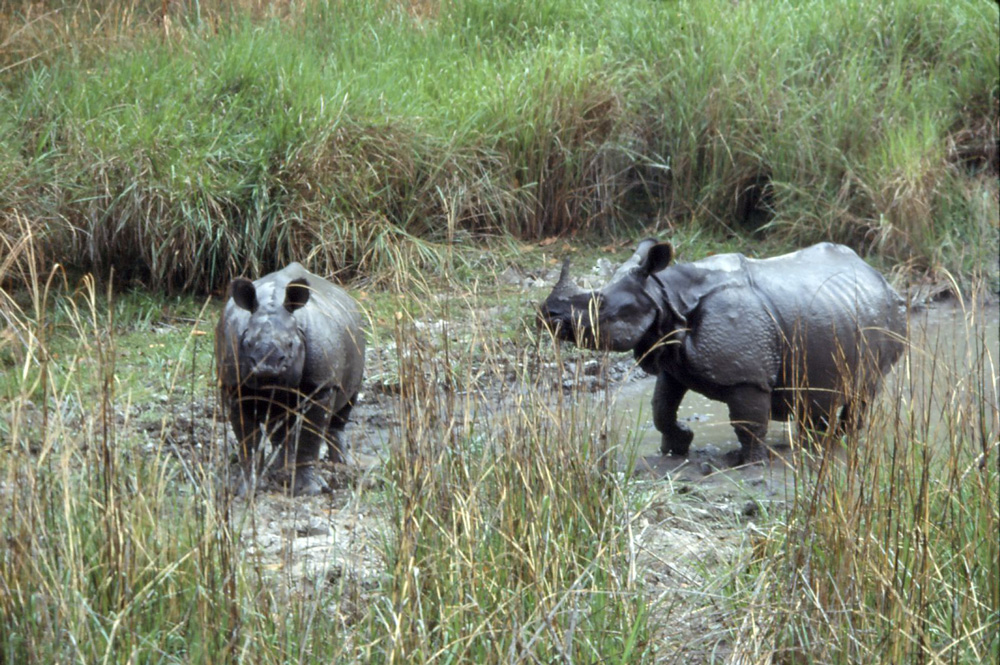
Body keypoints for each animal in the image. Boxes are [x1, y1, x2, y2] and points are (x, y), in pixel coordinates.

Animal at [215, 262, 365, 496]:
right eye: (247, 343)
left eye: (290, 345)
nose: (267, 369)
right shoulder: (234, 384)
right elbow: (247, 440)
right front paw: (245, 489)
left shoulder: (321, 385)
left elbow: (310, 436)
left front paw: (308, 490)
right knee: (279, 422)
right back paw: (279, 469)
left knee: (345, 406)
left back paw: (342, 465)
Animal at [539, 241, 906, 462]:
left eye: (598, 305)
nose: (546, 314)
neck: (664, 298)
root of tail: (880, 277)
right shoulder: (672, 361)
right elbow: (661, 408)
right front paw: (677, 446)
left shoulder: (747, 375)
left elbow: (747, 421)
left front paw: (748, 463)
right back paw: (814, 440)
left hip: (885, 319)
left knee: (864, 390)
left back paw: (841, 441)